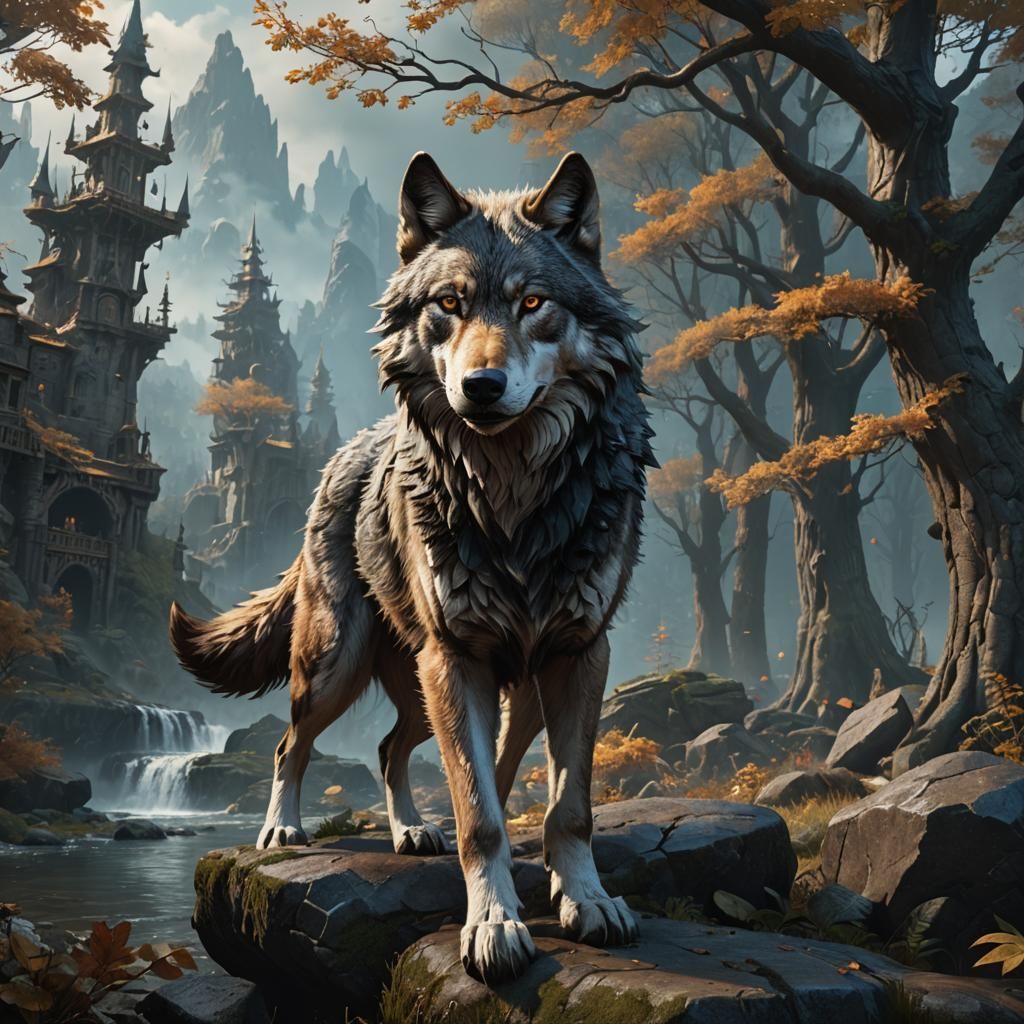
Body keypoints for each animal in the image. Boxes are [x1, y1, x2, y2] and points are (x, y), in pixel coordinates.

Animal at [170, 151, 655, 982]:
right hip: (340, 664)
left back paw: (410, 833)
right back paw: (284, 831)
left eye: (533, 303)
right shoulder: (456, 660)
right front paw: (492, 925)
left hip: (484, 692)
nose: (480, 388)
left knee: (397, 748)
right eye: (448, 305)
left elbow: (568, 805)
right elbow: (480, 814)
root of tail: (346, 451)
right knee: (292, 745)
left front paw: (587, 901)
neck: (512, 493)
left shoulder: (579, 655)